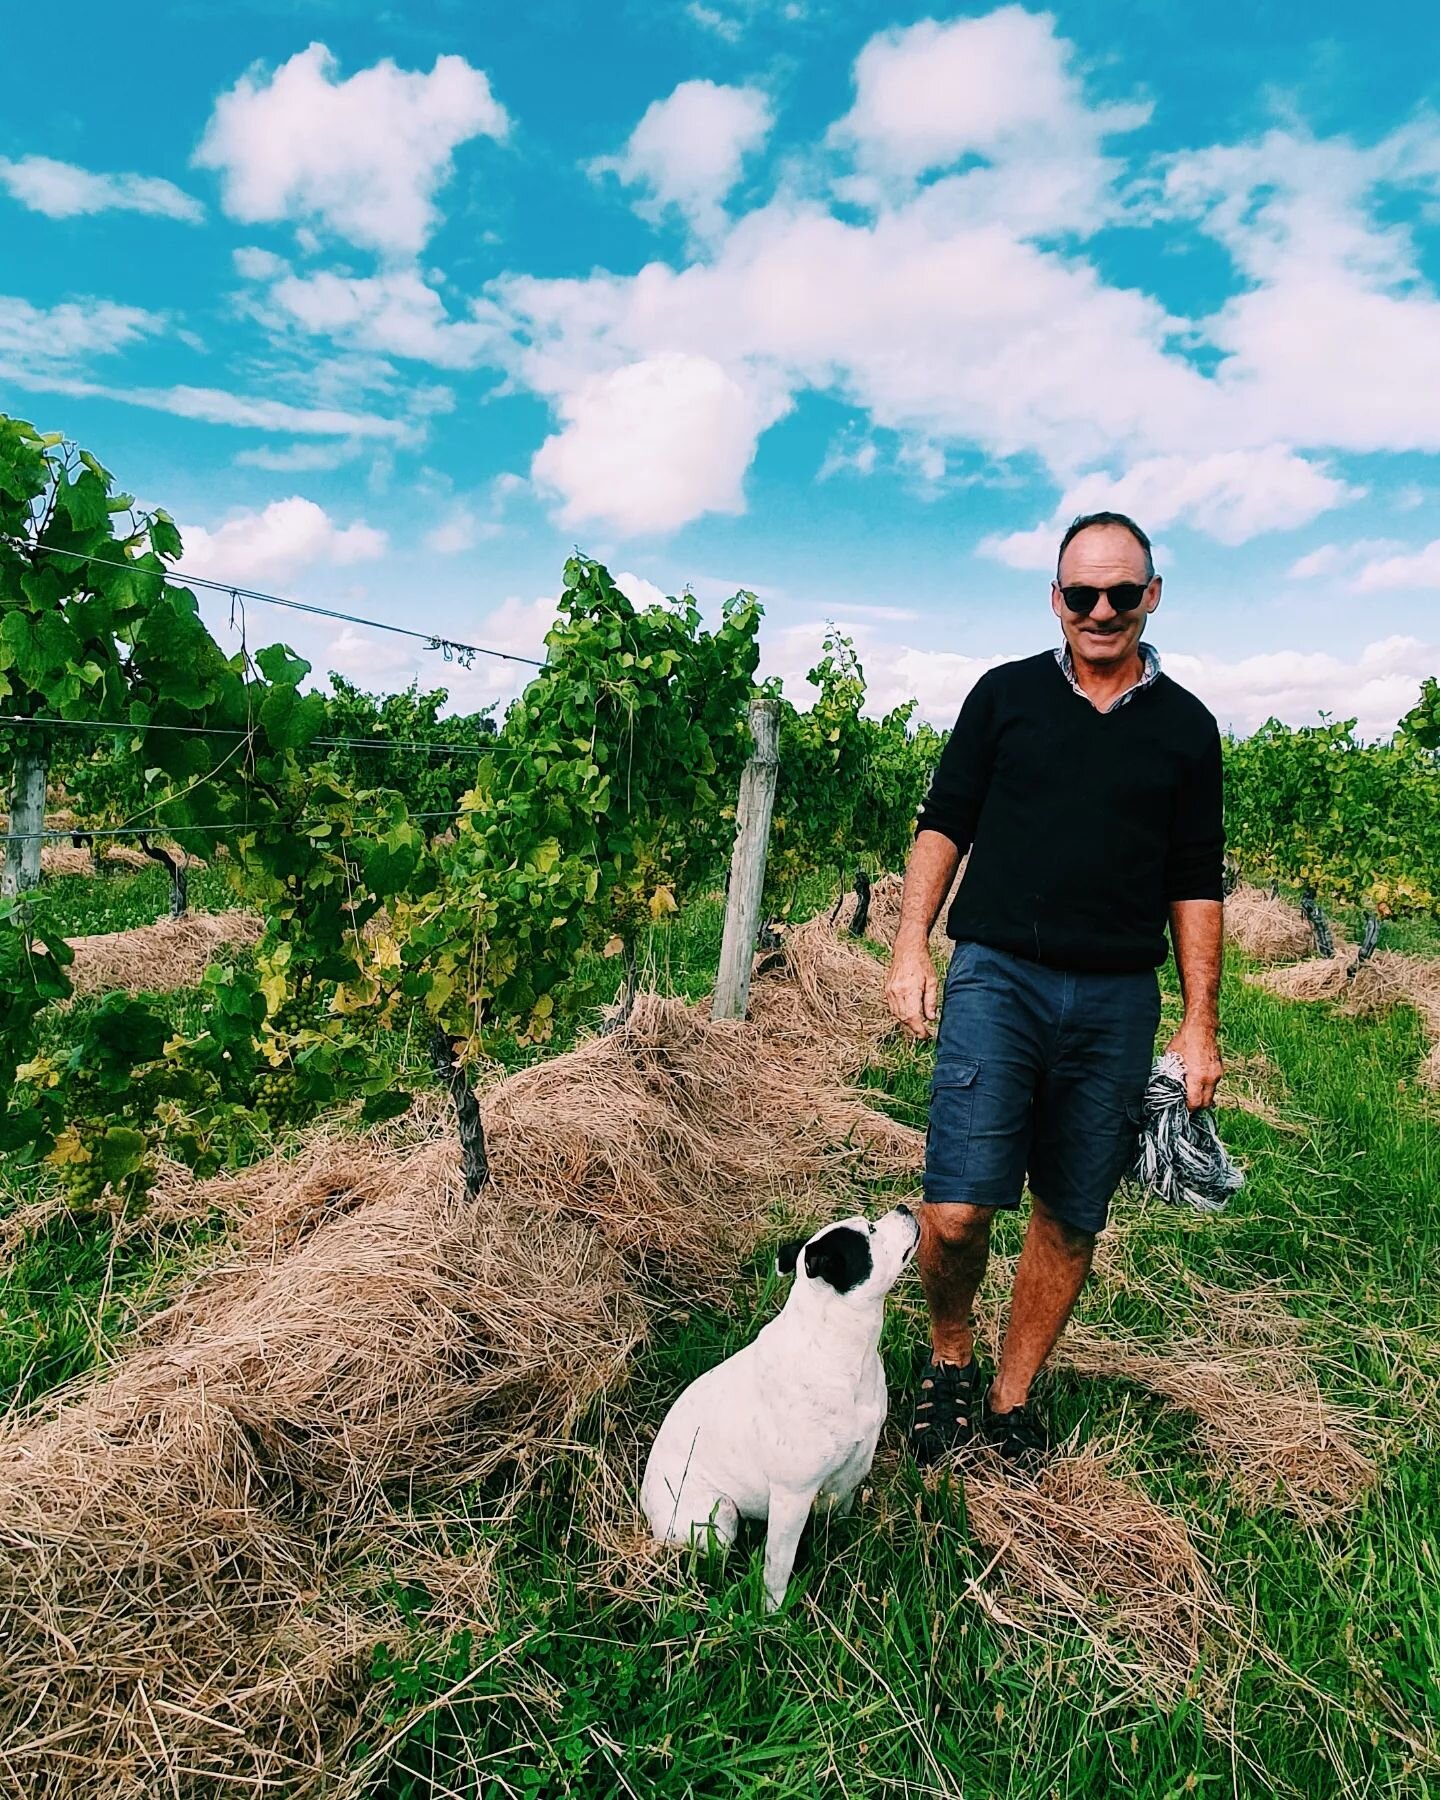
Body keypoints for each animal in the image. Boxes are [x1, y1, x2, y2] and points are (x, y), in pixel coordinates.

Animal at [644, 1209, 921, 1605]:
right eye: (870, 1230)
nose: (904, 1209)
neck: (838, 1347)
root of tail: (644, 1502)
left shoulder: (851, 1470)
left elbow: (839, 1519)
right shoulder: (792, 1499)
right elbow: (778, 1567)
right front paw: (772, 1610)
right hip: (718, 1519)